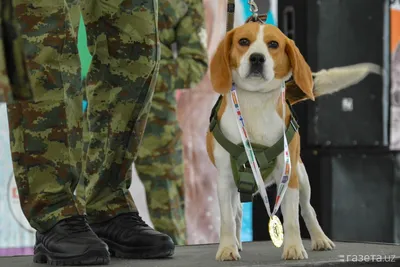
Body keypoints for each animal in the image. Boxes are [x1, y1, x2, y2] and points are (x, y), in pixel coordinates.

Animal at [206, 22, 382, 262]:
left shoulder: (288, 175)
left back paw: (320, 239)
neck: (256, 101)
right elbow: (226, 220)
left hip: (302, 175)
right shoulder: (225, 179)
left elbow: (291, 219)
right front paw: (227, 248)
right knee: (237, 214)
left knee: (308, 210)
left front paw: (294, 248)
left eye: (273, 44)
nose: (257, 58)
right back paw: (236, 242)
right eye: (243, 41)